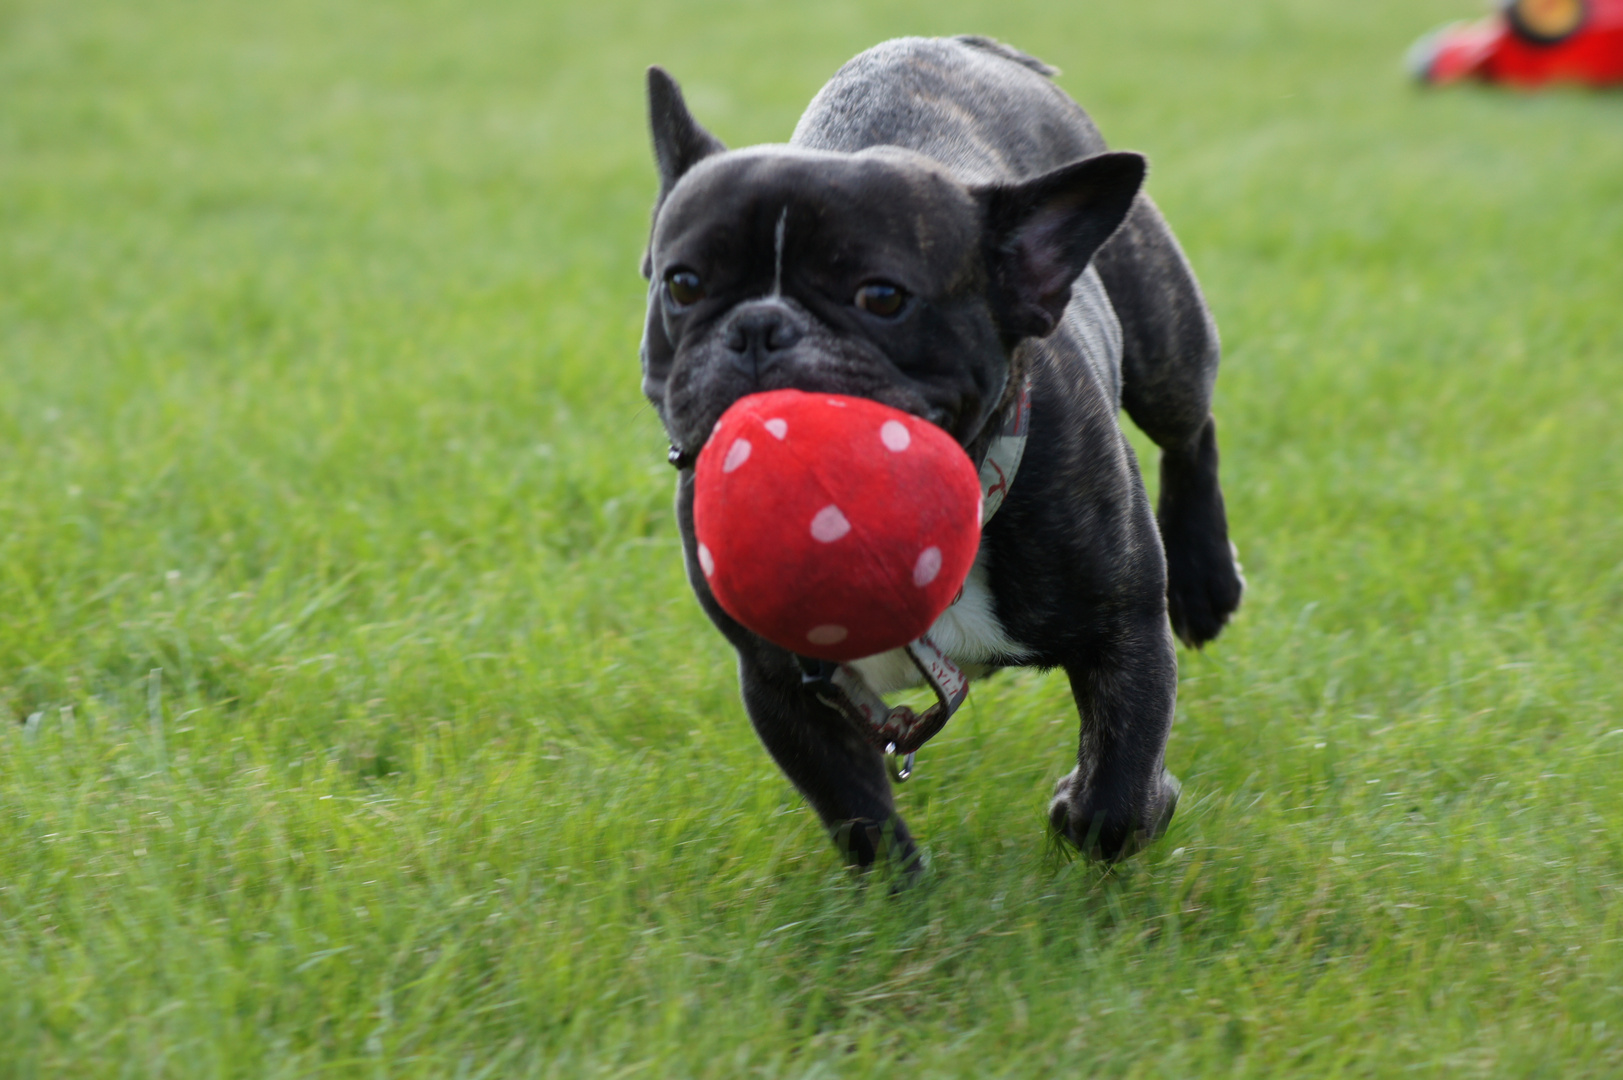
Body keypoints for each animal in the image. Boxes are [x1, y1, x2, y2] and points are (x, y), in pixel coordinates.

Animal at [636, 35, 1239, 870]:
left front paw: (1103, 806)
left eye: (882, 297)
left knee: (1190, 428)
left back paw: (1205, 580)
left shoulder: (1125, 628)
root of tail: (957, 44)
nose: (759, 325)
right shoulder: (780, 681)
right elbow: (853, 808)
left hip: (1162, 337)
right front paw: (898, 890)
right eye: (683, 284)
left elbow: (1117, 790)